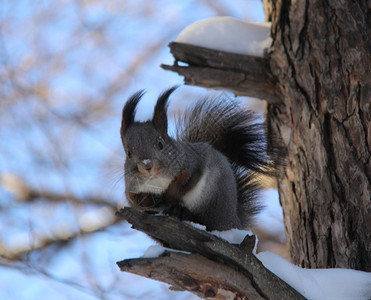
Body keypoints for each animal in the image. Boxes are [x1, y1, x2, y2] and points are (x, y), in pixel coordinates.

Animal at [121, 85, 282, 231]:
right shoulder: (131, 188)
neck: (157, 180)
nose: (147, 165)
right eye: (128, 153)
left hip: (213, 200)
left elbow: (185, 181)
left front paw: (170, 195)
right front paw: (150, 201)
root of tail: (233, 221)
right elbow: (135, 200)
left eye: (160, 144)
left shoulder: (193, 164)